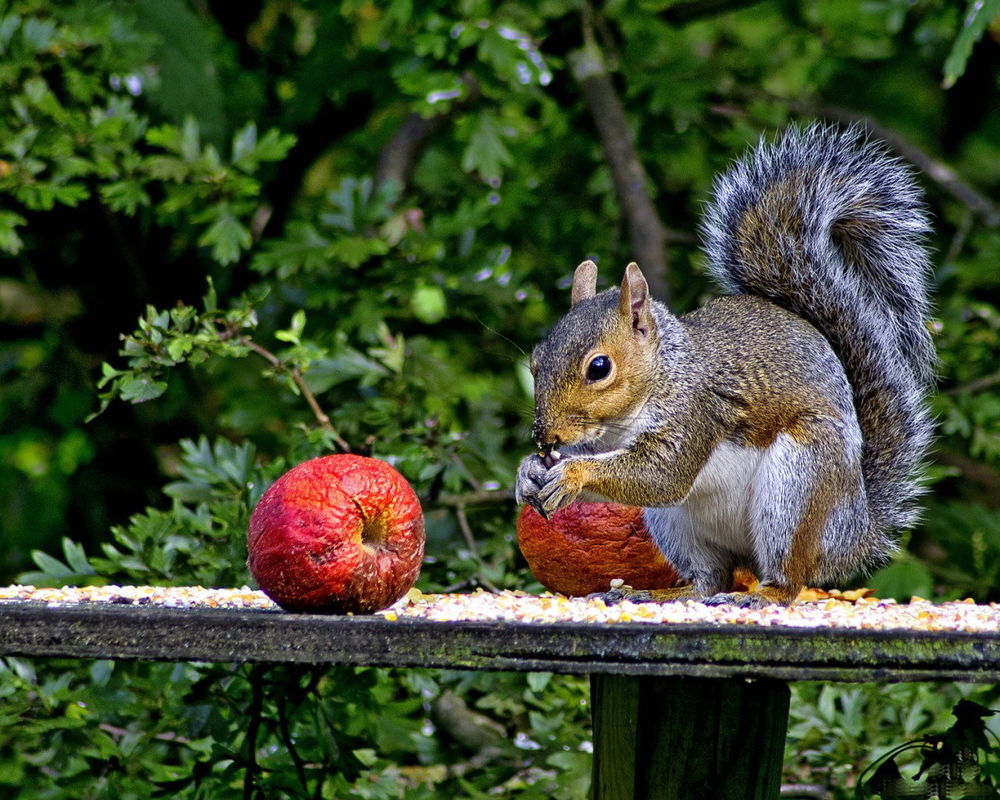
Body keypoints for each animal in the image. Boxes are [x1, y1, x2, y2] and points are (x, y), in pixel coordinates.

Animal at [516, 123, 936, 608]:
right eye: (535, 360)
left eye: (599, 368)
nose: (545, 436)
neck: (663, 376)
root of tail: (852, 533)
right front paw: (528, 471)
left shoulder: (698, 411)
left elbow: (661, 475)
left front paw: (572, 473)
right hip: (676, 525)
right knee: (708, 578)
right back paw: (659, 594)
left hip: (799, 485)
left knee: (788, 575)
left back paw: (760, 596)